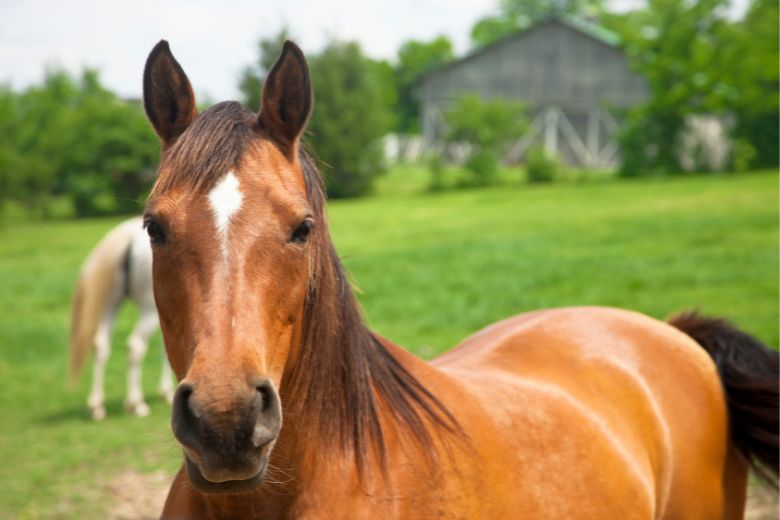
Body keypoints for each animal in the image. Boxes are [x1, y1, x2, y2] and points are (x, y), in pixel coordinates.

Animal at [69, 217, 174, 420]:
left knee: (100, 345)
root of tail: (127, 236)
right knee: (135, 346)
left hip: (110, 305)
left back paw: (97, 406)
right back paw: (136, 403)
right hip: (148, 310)